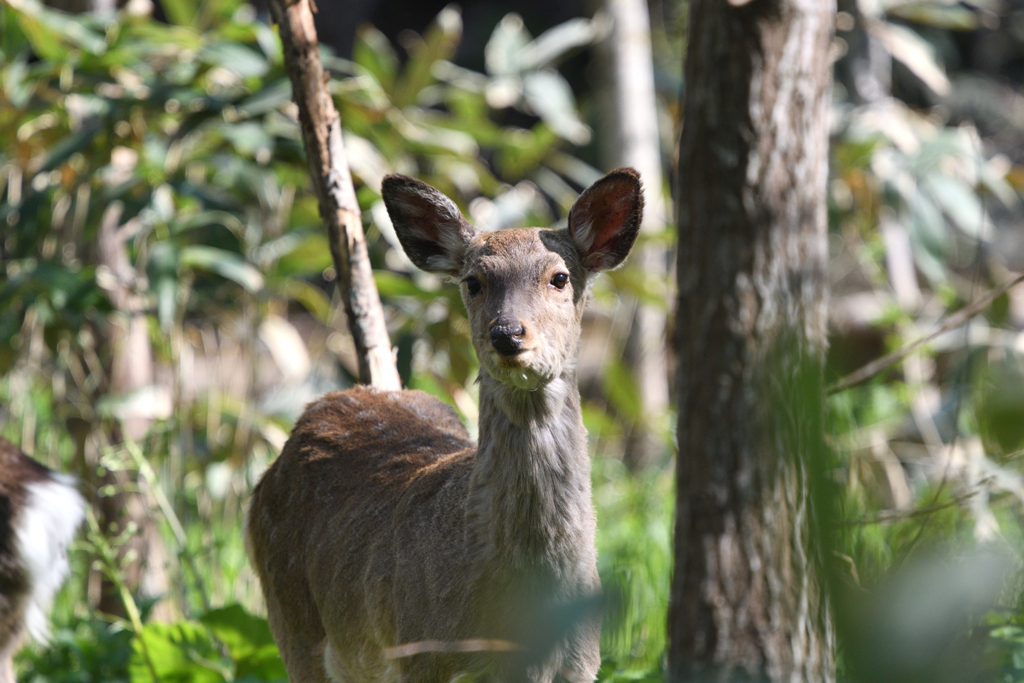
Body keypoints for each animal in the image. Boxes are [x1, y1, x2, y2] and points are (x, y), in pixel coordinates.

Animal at [245, 166, 638, 683]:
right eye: (474, 281)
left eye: (560, 277)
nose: (507, 333)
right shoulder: (418, 653)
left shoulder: (584, 663)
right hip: (291, 616)